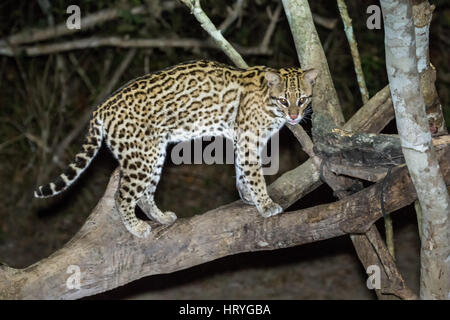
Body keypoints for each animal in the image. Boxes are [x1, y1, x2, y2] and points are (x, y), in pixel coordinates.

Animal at [33, 59, 318, 238]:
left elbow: (241, 171)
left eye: (303, 99)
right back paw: (136, 228)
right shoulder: (248, 140)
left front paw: (247, 196)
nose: (294, 117)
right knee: (122, 196)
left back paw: (160, 218)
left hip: (153, 153)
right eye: (284, 101)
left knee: (144, 194)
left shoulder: (243, 140)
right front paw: (265, 204)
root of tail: (102, 107)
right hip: (140, 158)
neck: (270, 104)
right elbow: (255, 175)